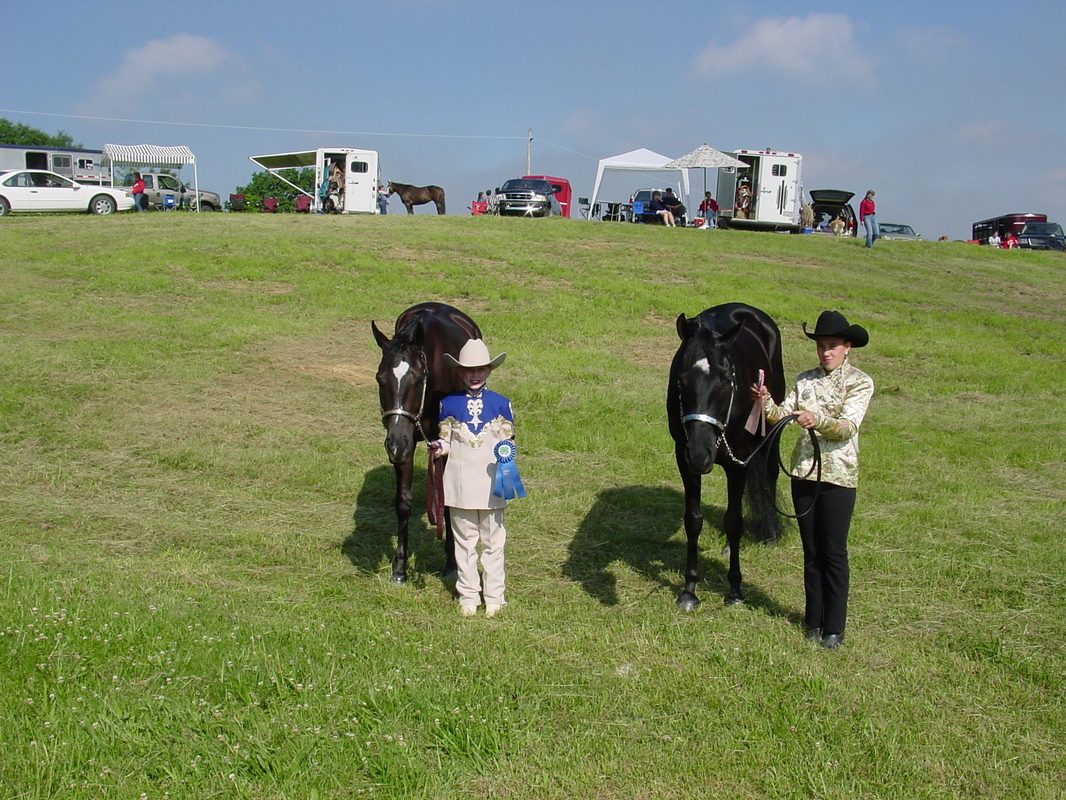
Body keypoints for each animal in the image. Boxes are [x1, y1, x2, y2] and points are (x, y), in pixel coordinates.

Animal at [370, 300, 479, 584]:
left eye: (419, 378)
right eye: (379, 378)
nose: (394, 445)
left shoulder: (444, 444)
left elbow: (448, 502)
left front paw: (452, 564)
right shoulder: (405, 442)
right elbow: (403, 502)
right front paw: (399, 569)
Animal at [669, 302, 788, 610]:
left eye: (726, 380)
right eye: (681, 379)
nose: (701, 453)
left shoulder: (739, 463)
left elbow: (734, 522)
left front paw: (735, 591)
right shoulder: (684, 460)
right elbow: (693, 520)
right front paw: (689, 591)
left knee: (770, 475)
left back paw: (770, 533)